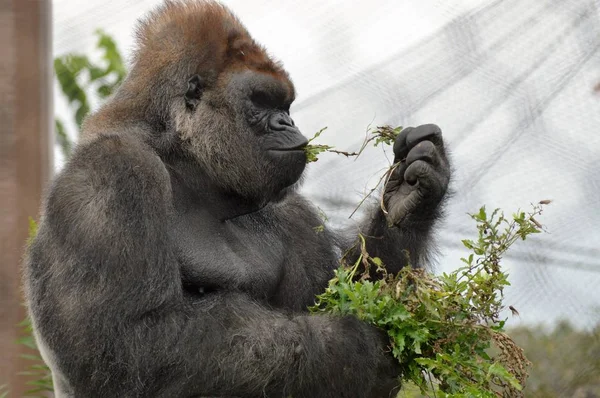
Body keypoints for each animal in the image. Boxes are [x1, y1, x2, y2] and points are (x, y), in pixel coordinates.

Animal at [25, 1, 452, 396]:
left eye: (285, 105)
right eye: (261, 100)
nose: (287, 123)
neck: (189, 165)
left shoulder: (293, 214)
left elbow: (342, 291)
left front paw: (410, 200)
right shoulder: (111, 173)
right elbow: (128, 345)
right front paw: (350, 350)